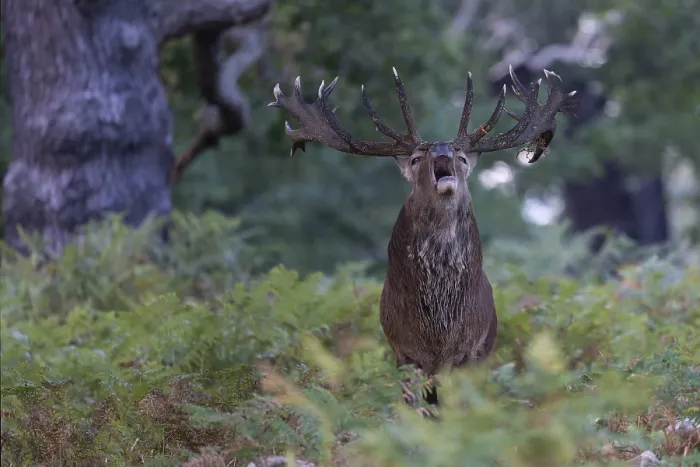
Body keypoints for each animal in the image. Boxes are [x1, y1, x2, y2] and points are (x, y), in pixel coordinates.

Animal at [268, 65, 577, 414]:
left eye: (462, 157)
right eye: (416, 158)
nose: (442, 149)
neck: (437, 327)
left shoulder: (470, 351)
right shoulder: (403, 350)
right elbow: (414, 406)